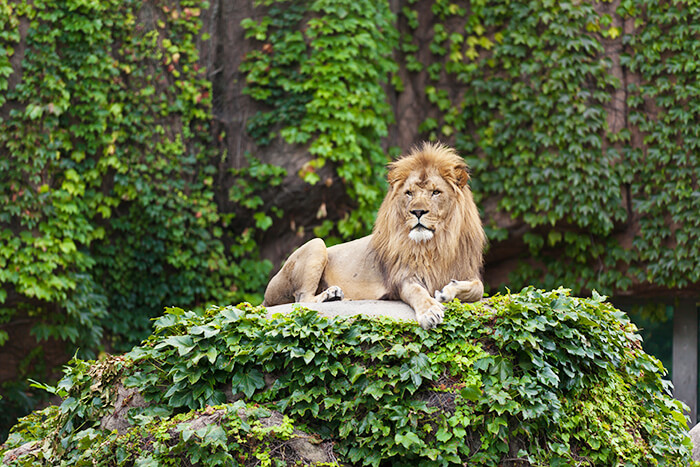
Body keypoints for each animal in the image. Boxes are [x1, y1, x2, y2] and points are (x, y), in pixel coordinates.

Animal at [262, 143, 486, 330]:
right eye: (409, 193)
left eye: (436, 192)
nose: (417, 212)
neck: (434, 244)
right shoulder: (402, 277)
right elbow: (418, 292)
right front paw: (429, 312)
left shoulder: (467, 271)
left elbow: (478, 288)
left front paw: (447, 291)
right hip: (316, 244)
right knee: (301, 299)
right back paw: (331, 296)